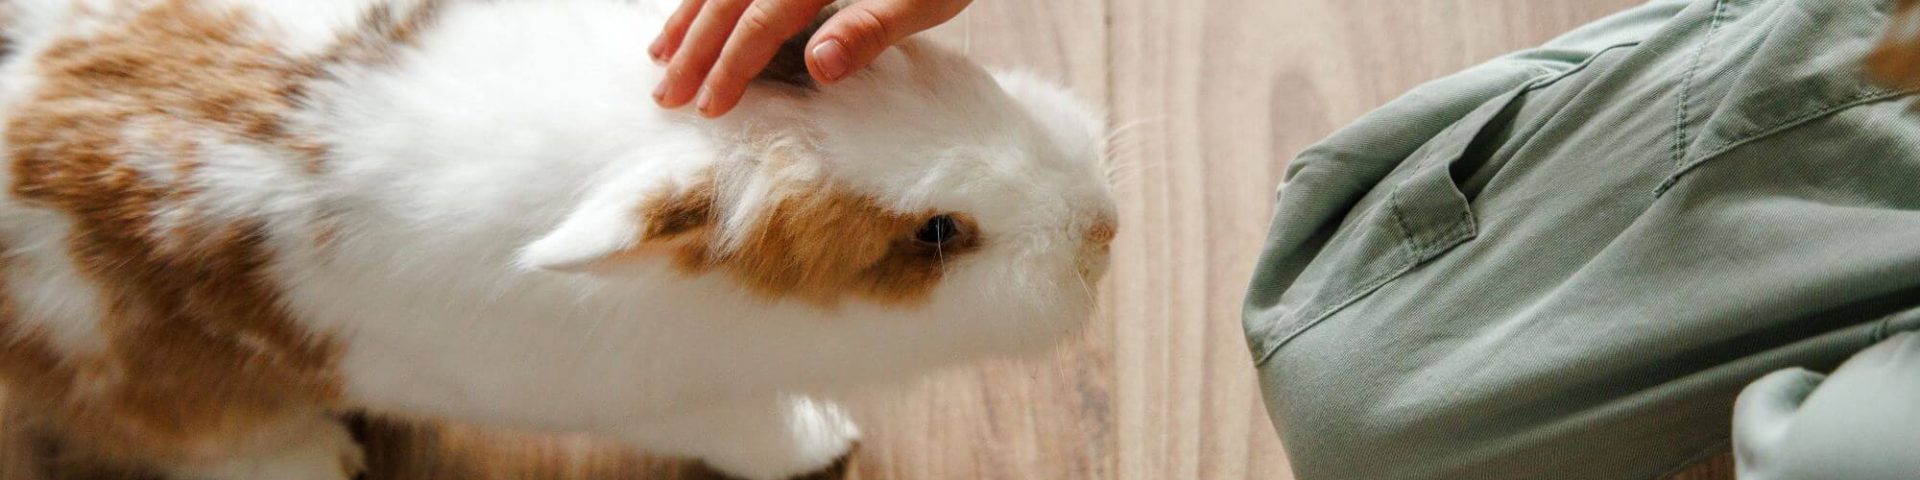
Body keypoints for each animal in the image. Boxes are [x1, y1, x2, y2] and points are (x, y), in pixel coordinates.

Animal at [0, 0, 1117, 479]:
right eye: (936, 235)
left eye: (954, 81)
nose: (1103, 228)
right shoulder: (663, 402)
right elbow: (750, 430)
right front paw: (823, 441)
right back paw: (318, 461)